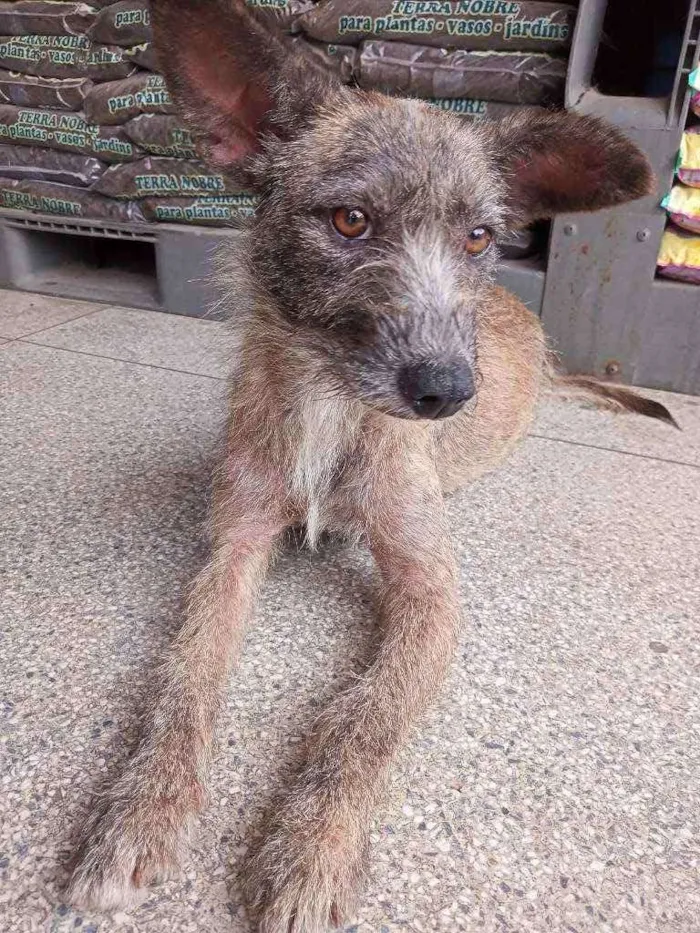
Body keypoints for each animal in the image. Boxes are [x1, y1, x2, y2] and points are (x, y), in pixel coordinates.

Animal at [67, 3, 680, 928]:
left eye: (478, 236)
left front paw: (313, 844)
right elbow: (186, 673)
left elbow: (368, 713)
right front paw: (142, 809)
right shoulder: (232, 548)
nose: (449, 390)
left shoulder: (433, 594)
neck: (333, 405)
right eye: (351, 221)